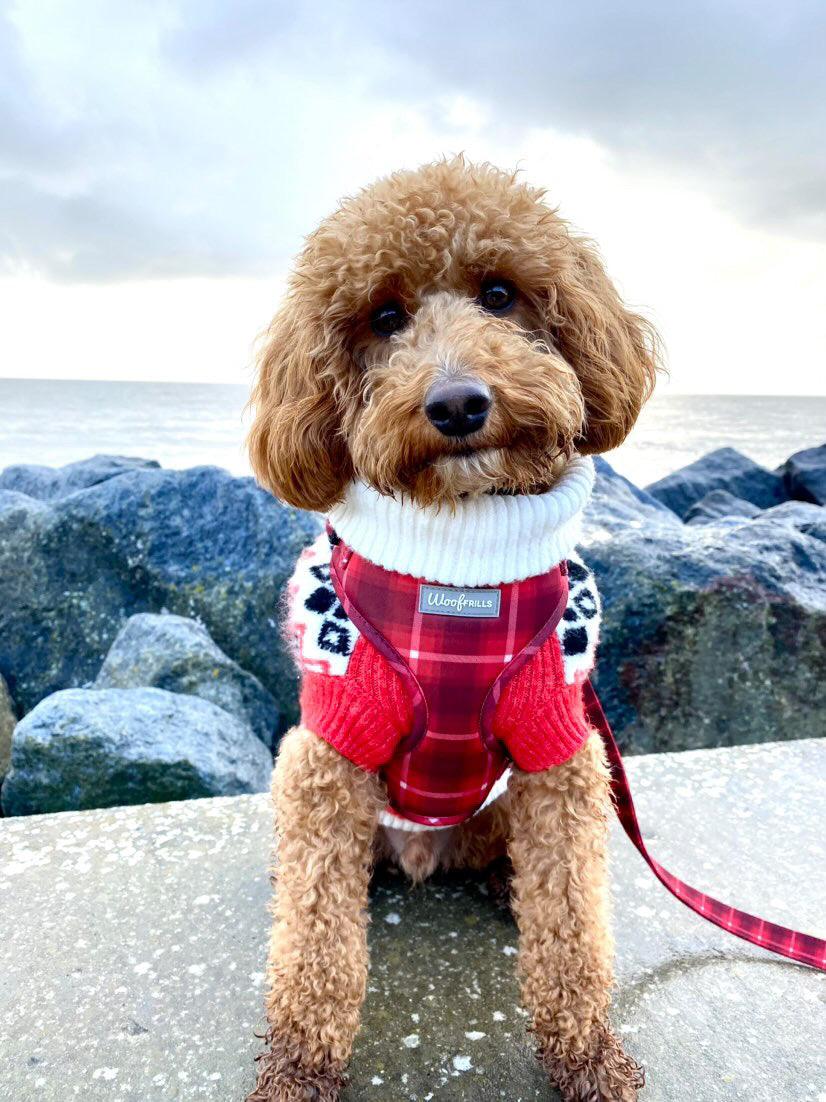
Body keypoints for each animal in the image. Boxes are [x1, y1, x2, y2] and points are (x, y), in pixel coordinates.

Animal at [245, 157, 660, 1102]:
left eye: (500, 294)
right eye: (384, 317)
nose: (460, 402)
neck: (456, 580)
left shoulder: (559, 746)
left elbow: (573, 929)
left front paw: (588, 1056)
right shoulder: (330, 753)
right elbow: (315, 946)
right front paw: (298, 1068)